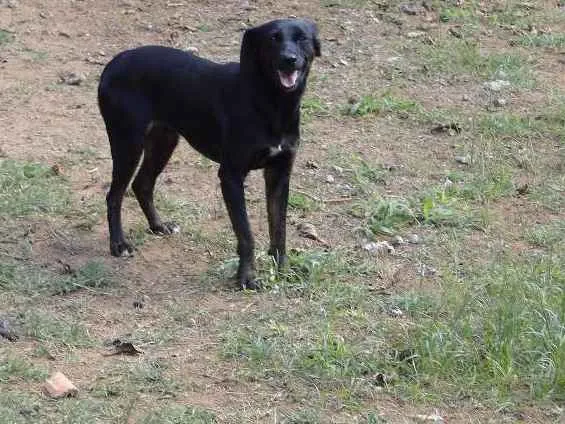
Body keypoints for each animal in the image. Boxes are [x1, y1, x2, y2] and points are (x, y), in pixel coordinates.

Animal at [98, 16, 322, 288]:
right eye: (273, 38)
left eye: (302, 38)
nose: (289, 59)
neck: (271, 103)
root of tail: (113, 63)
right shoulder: (231, 176)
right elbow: (246, 234)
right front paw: (246, 277)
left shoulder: (279, 173)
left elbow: (279, 228)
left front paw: (282, 268)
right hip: (127, 143)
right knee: (114, 195)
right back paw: (119, 244)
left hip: (163, 141)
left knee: (142, 184)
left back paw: (158, 226)